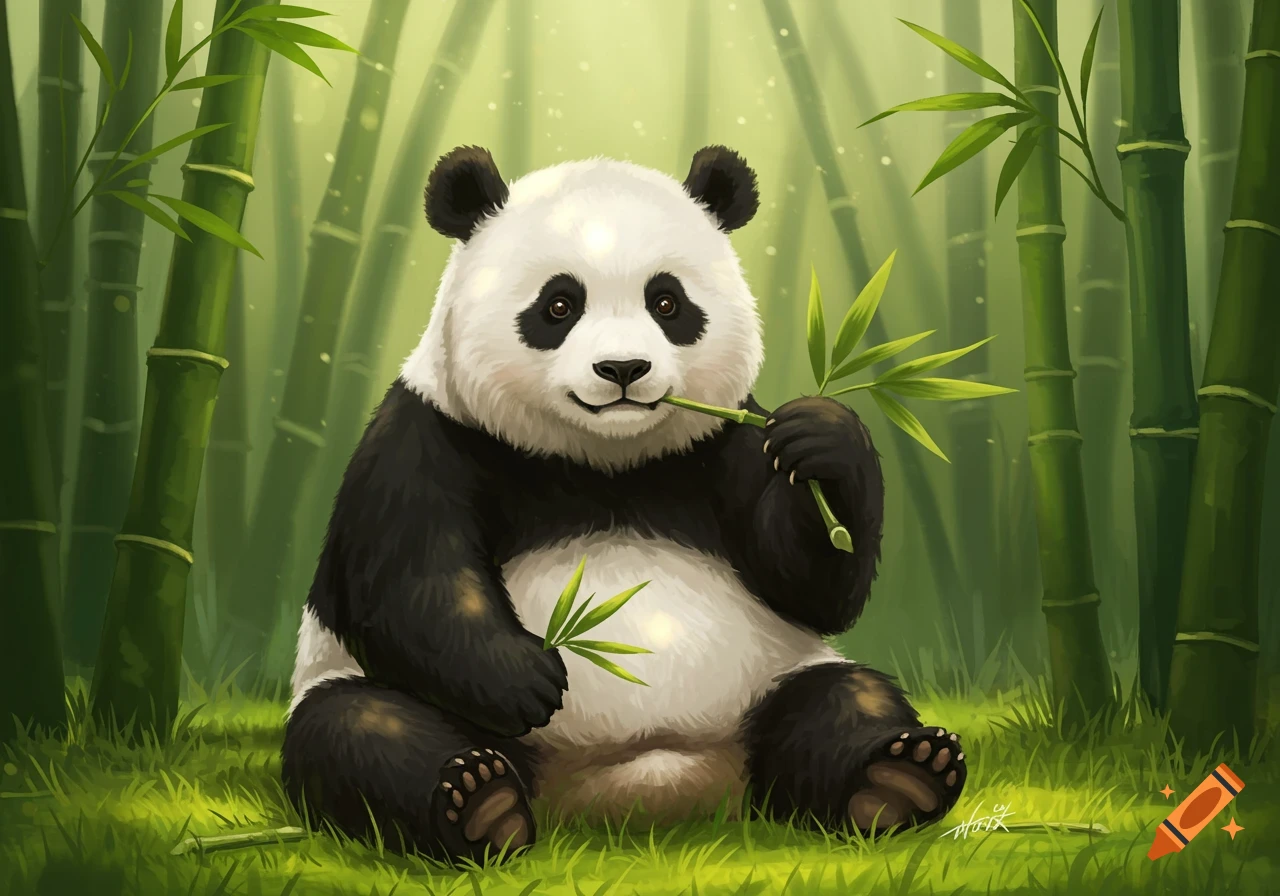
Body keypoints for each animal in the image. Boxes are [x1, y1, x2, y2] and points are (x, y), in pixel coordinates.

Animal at [283, 144, 967, 863]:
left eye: (666, 301)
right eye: (559, 305)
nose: (622, 369)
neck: (604, 460)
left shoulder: (724, 441)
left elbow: (806, 585)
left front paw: (822, 436)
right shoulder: (426, 435)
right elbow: (409, 578)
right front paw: (525, 675)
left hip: (770, 682)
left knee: (845, 697)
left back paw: (898, 779)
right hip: (380, 696)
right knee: (361, 728)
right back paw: (480, 804)